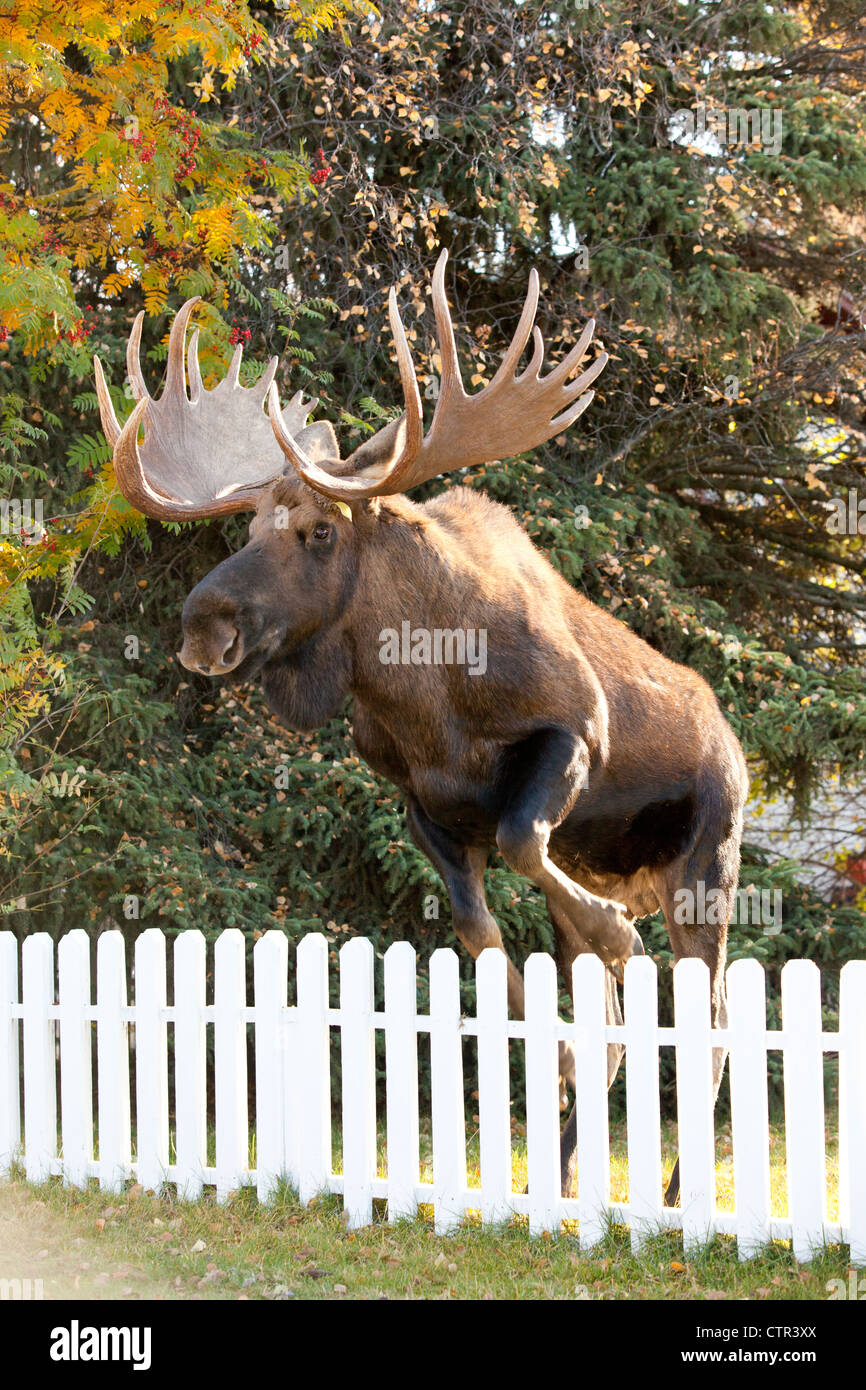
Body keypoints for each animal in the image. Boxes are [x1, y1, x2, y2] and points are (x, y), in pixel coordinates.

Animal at [93, 252, 745, 1206]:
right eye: (247, 525)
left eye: (317, 530)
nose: (203, 627)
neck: (425, 697)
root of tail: (737, 747)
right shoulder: (421, 803)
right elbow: (480, 935)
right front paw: (552, 1051)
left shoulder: (573, 735)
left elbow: (522, 840)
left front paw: (609, 939)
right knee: (621, 1023)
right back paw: (569, 1165)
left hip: (708, 864)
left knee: (715, 1021)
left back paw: (669, 1190)